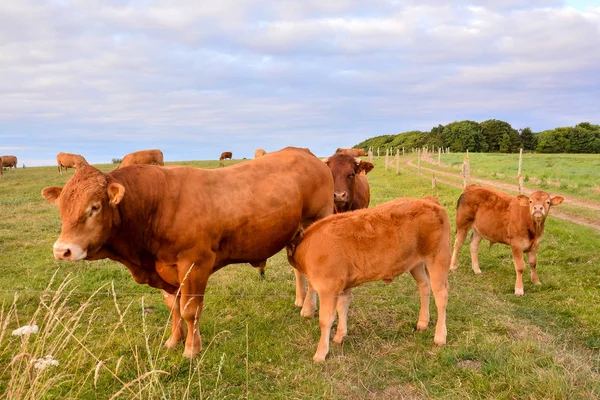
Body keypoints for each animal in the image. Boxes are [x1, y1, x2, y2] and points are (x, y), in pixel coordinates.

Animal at [42, 148, 332, 360]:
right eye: (62, 208)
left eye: (94, 207)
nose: (62, 250)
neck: (157, 204)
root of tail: (306, 154)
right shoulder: (165, 268)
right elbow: (173, 306)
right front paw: (174, 340)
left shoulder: (195, 264)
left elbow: (190, 310)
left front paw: (192, 349)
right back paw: (301, 302)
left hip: (316, 222)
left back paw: (308, 308)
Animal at [288, 197, 450, 362]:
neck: (308, 246)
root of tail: (428, 200)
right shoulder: (343, 286)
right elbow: (342, 309)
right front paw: (340, 336)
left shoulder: (328, 287)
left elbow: (325, 319)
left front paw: (320, 354)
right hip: (416, 264)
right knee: (424, 286)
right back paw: (422, 323)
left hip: (438, 260)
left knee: (441, 296)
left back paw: (440, 337)